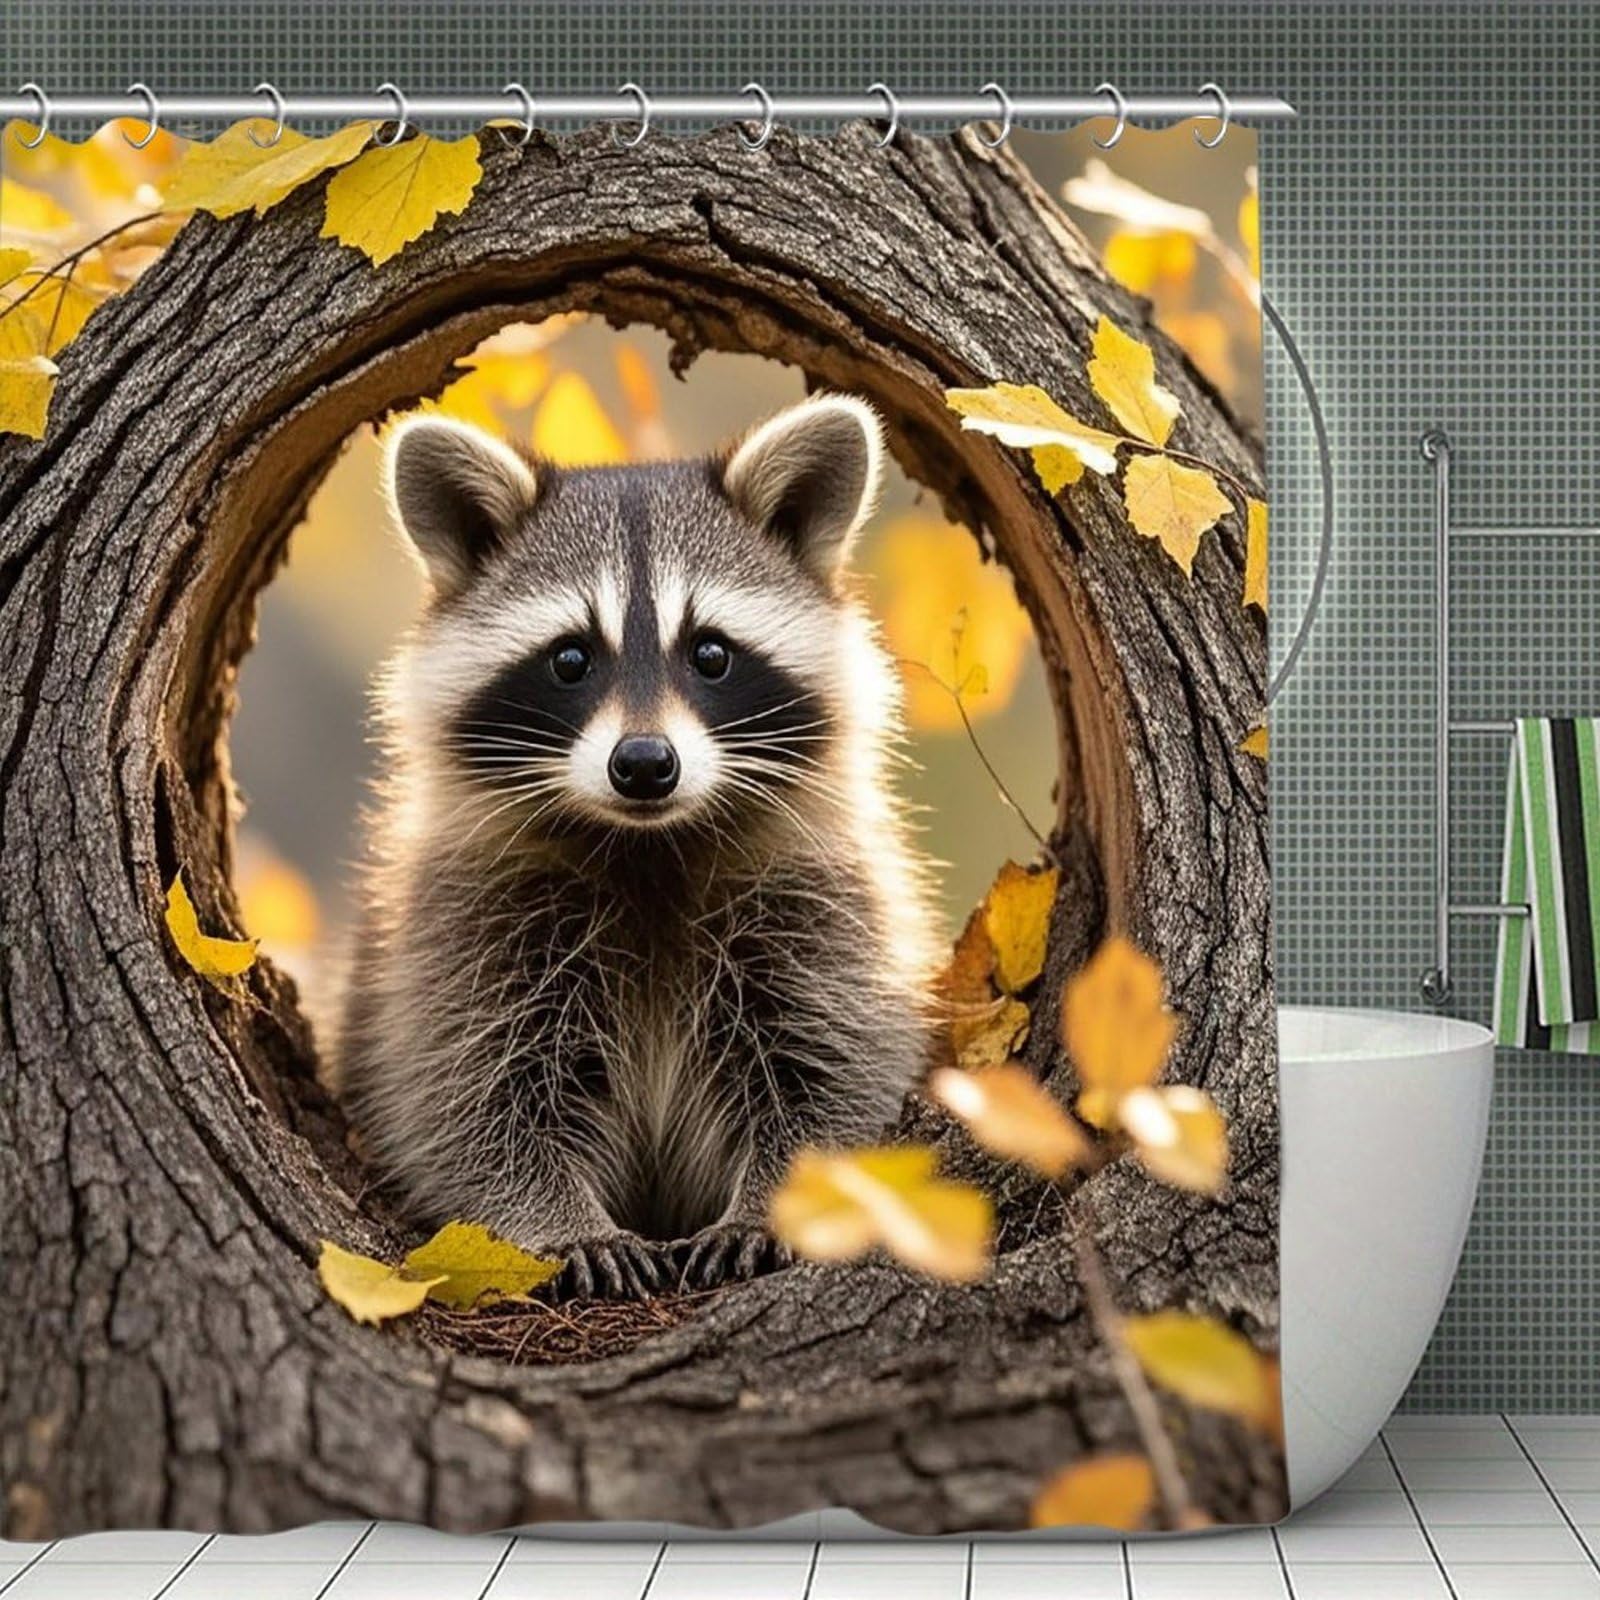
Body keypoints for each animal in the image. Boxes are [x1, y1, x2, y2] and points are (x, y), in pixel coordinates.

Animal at [337, 392, 942, 1298]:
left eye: (712, 653)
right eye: (570, 659)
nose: (646, 765)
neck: (649, 846)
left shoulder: (816, 897)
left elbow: (834, 1070)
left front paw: (777, 1204)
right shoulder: (467, 921)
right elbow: (466, 1098)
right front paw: (558, 1225)